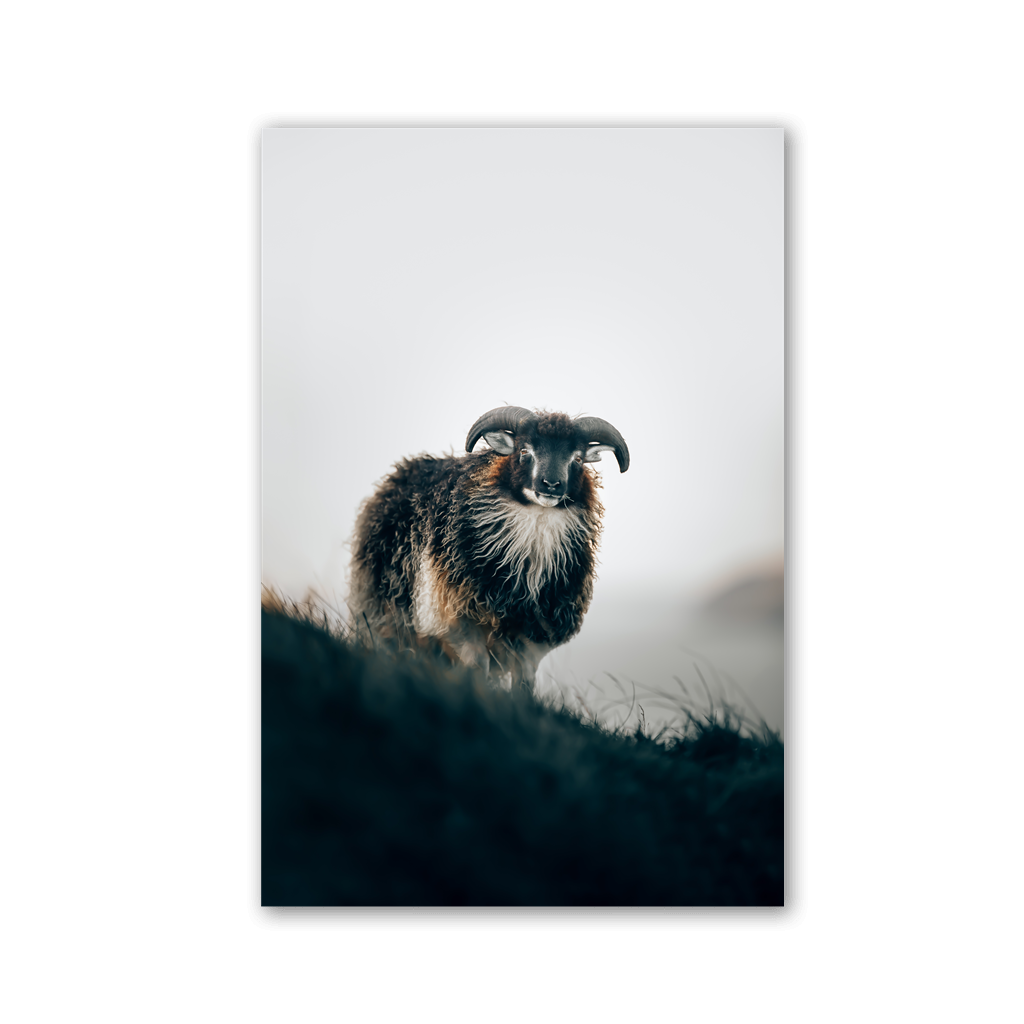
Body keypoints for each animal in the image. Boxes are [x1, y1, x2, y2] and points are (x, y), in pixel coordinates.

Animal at [349, 407, 630, 691]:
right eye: (524, 451)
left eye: (578, 459)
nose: (551, 485)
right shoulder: (460, 620)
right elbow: (476, 670)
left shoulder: (535, 637)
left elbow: (524, 684)